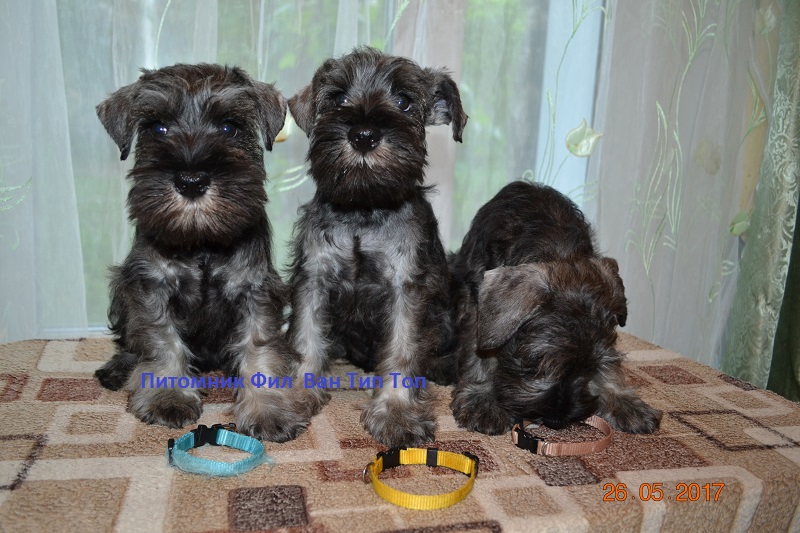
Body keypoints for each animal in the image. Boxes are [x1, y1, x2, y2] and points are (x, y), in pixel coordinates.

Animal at [94, 62, 318, 440]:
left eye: (229, 127)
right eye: (158, 127)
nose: (191, 180)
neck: (201, 241)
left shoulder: (256, 291)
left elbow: (260, 350)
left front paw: (268, 409)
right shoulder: (151, 287)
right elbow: (161, 341)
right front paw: (167, 397)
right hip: (120, 291)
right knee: (129, 342)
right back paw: (117, 368)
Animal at [286, 47, 466, 446]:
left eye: (404, 101)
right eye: (338, 98)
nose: (363, 135)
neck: (364, 207)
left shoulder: (406, 288)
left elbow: (401, 350)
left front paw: (396, 412)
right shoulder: (313, 279)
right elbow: (306, 339)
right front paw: (295, 394)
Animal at [450, 181, 664, 434]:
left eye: (590, 367)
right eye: (536, 362)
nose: (557, 420)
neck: (556, 246)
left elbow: (611, 363)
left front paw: (625, 402)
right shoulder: (475, 304)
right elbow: (480, 351)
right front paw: (483, 399)